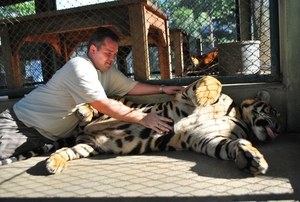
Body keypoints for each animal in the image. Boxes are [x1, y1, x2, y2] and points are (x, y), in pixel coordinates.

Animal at [45, 76, 282, 175]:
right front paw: (204, 95)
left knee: (66, 150)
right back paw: (84, 112)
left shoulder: (208, 139)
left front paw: (250, 159)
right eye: (275, 113)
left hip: (89, 146)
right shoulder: (182, 98)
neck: (238, 116)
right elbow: (211, 80)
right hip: (116, 102)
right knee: (97, 104)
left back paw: (54, 163)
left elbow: (229, 146)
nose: (278, 130)